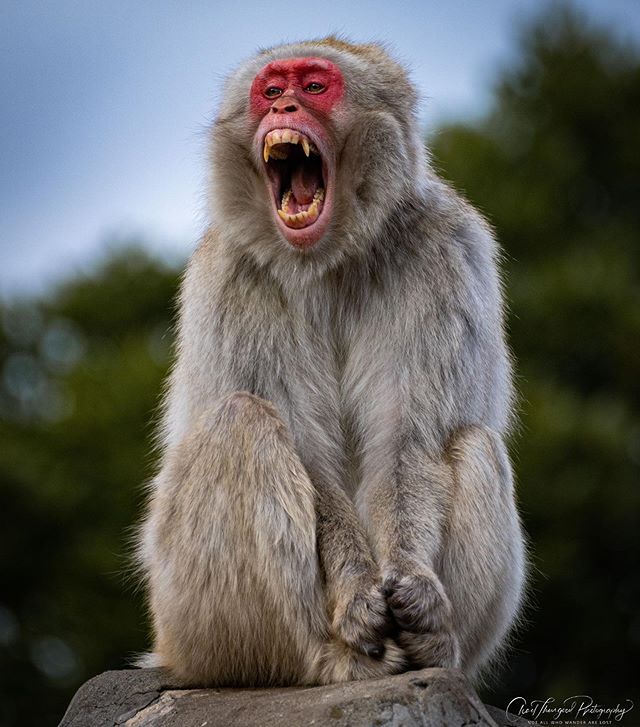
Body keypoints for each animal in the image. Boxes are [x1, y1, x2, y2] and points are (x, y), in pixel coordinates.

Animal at [135, 37, 524, 692]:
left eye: (315, 86)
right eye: (270, 90)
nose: (284, 105)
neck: (329, 257)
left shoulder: (447, 250)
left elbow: (409, 441)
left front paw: (413, 583)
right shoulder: (232, 275)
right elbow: (307, 453)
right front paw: (358, 591)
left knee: (473, 442)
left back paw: (436, 649)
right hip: (185, 617)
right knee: (242, 421)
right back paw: (326, 659)